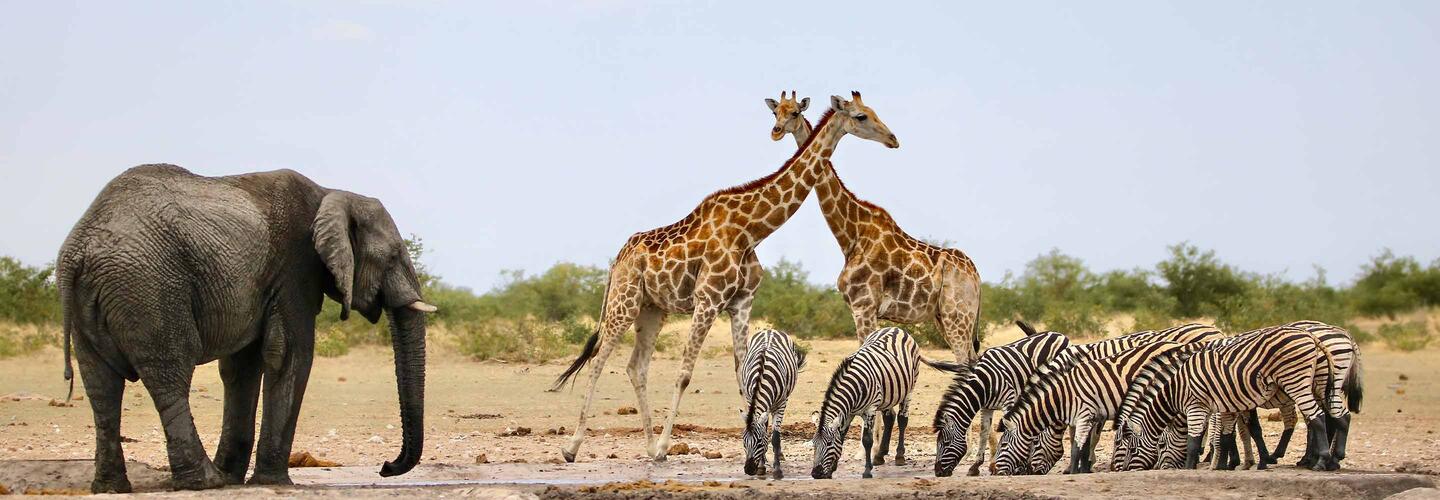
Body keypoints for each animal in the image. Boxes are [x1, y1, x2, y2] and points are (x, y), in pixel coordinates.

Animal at [55, 164, 435, 492]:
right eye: (393, 257)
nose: (385, 467)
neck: (332, 194)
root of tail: (78, 250)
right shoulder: (295, 268)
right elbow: (291, 355)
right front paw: (271, 481)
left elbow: (241, 367)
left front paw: (235, 477)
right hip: (150, 288)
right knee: (170, 373)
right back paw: (205, 482)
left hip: (95, 300)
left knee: (101, 385)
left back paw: (112, 487)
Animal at [739, 329, 806, 479]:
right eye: (744, 441)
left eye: (759, 441)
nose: (749, 469)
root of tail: (770, 330)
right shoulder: (749, 399)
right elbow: (764, 429)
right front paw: (761, 466)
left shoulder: (781, 403)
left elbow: (775, 437)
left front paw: (777, 470)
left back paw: (779, 455)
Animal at [811, 327, 960, 479]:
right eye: (814, 444)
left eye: (829, 443)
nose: (816, 473)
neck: (855, 388)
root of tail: (896, 328)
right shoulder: (848, 413)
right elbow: (841, 436)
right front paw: (832, 469)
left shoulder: (870, 410)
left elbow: (867, 440)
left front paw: (867, 471)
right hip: (887, 395)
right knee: (889, 418)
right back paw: (879, 456)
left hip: (909, 389)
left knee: (902, 419)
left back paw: (899, 456)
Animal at [932, 321, 1070, 477]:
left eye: (945, 443)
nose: (938, 472)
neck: (984, 384)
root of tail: (1058, 334)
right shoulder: (986, 407)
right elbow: (984, 431)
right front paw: (976, 466)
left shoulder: (1009, 401)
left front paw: (1015, 466)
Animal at [1114, 325, 1346, 471]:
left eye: (1131, 449)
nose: (1121, 470)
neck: (1176, 387)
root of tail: (1311, 336)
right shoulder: (1227, 404)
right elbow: (1228, 436)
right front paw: (1226, 465)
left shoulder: (1196, 406)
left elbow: (1195, 440)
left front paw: (1192, 468)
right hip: (1321, 384)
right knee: (1338, 417)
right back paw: (1332, 460)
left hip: (1297, 382)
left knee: (1318, 418)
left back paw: (1321, 461)